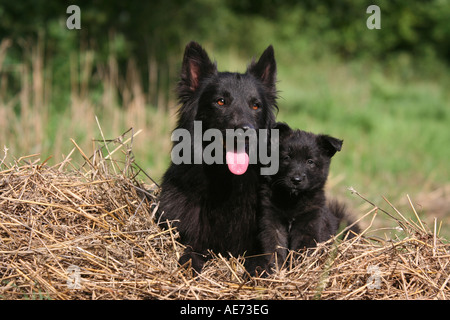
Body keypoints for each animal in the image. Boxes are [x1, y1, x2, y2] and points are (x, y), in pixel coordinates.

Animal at [158, 42, 278, 272]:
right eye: (221, 101)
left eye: (255, 105)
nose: (246, 131)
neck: (226, 182)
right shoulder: (192, 238)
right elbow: (189, 255)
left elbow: (261, 259)